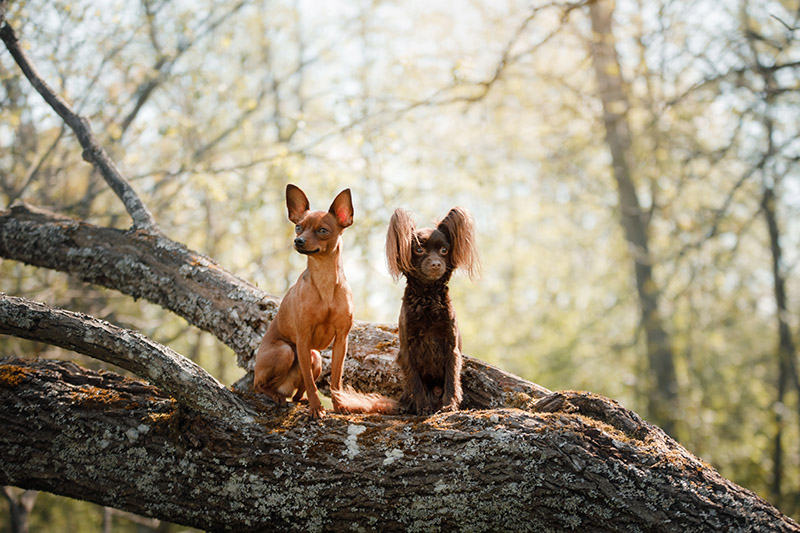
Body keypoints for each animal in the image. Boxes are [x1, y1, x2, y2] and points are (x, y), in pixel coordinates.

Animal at [255, 185, 354, 418]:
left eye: (323, 230)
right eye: (298, 227)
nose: (298, 241)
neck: (325, 279)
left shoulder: (341, 340)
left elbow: (336, 379)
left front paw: (340, 405)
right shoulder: (303, 337)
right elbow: (311, 382)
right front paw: (317, 409)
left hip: (315, 356)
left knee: (296, 394)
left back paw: (299, 400)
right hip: (286, 351)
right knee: (259, 386)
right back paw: (276, 396)